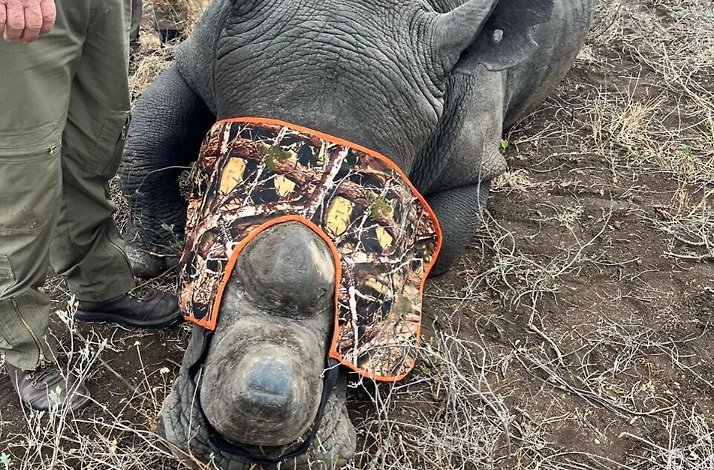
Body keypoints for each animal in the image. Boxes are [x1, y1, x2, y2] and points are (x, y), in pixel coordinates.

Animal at [118, 0, 596, 468]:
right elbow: (147, 134)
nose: (248, 450)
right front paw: (151, 255)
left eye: (364, 305)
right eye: (211, 262)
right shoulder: (199, 60)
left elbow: (436, 252)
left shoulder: (469, 160)